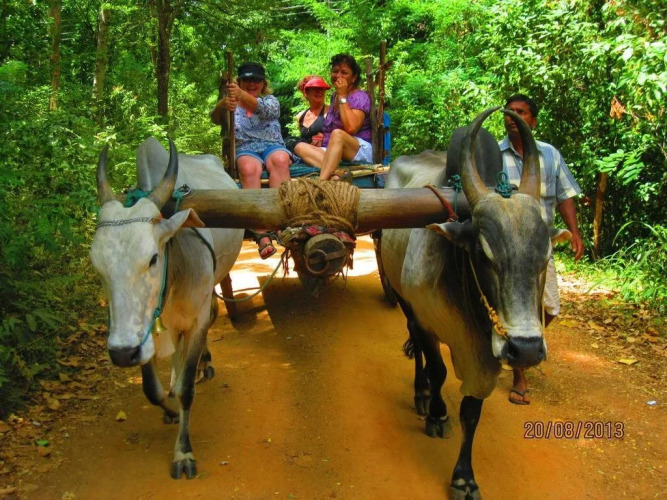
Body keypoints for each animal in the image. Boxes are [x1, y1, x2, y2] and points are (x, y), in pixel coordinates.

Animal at [90, 137, 243, 479]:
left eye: (152, 258)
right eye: (97, 265)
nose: (121, 353)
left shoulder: (197, 319)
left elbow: (186, 389)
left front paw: (183, 452)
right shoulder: (143, 333)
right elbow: (152, 389)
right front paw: (170, 409)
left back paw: (202, 363)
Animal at [380, 108, 570, 499]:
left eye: (546, 255)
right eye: (483, 255)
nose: (526, 349)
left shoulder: (484, 351)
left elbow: (472, 409)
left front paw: (464, 477)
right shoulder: (428, 319)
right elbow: (438, 371)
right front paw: (437, 415)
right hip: (404, 301)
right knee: (417, 346)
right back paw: (421, 392)